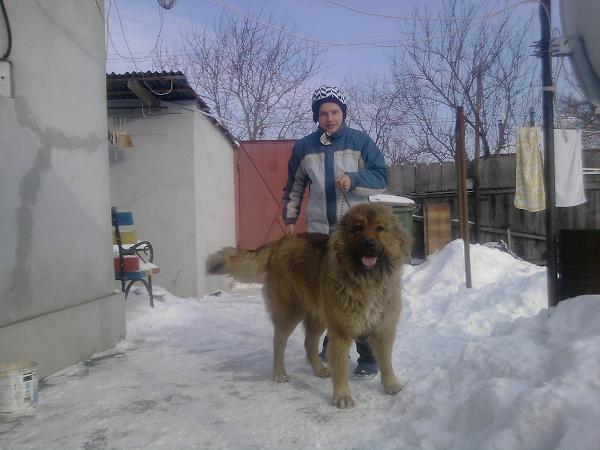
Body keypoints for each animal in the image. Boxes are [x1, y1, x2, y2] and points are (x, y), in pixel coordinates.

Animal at [205, 203, 411, 408]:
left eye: (380, 228)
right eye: (358, 228)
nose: (369, 244)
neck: (367, 280)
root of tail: (279, 243)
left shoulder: (383, 328)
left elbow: (386, 361)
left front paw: (391, 384)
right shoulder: (341, 332)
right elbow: (341, 368)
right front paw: (342, 396)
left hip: (318, 315)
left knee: (309, 342)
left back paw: (319, 369)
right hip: (290, 312)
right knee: (279, 342)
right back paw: (280, 373)